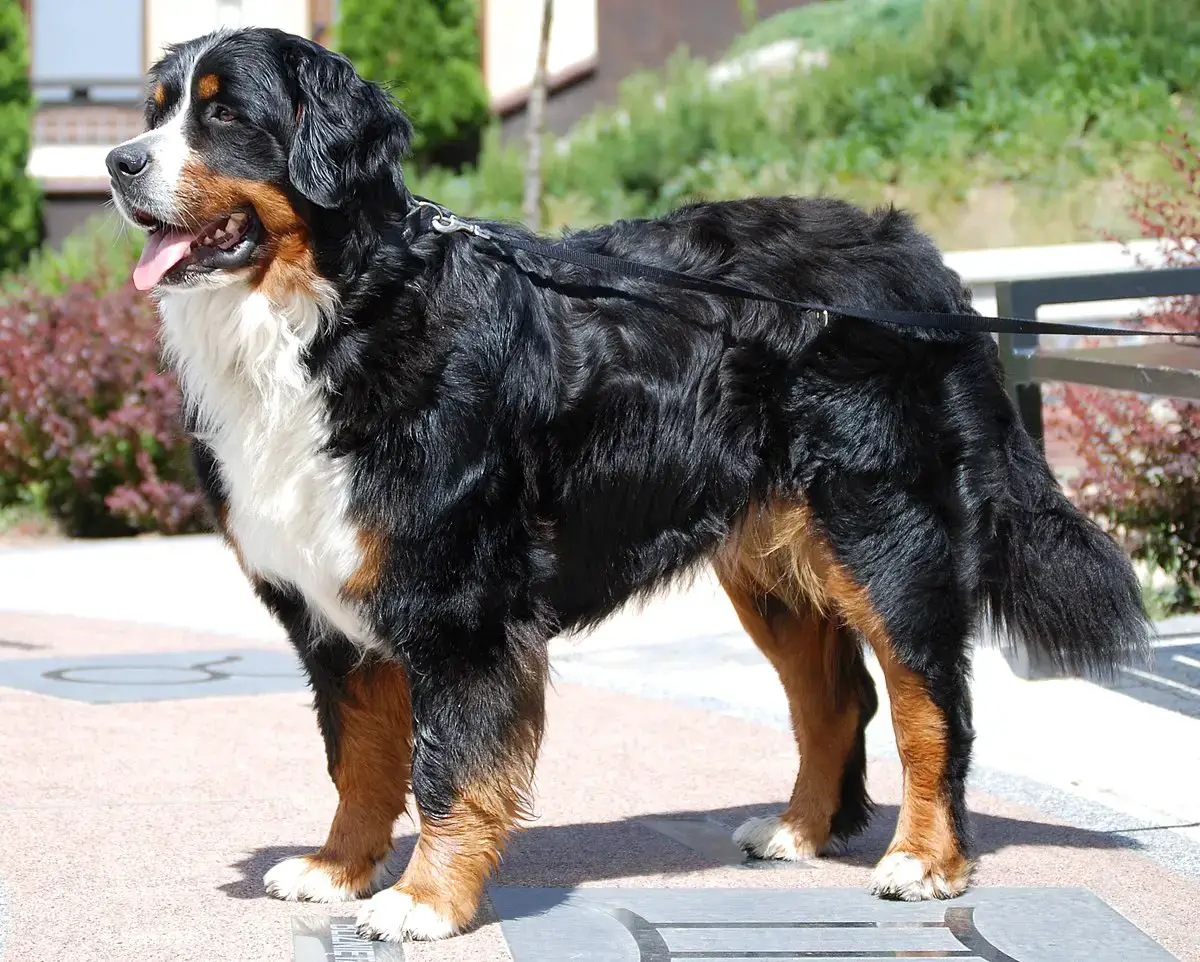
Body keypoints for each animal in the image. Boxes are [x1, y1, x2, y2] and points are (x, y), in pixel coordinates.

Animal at [105, 28, 1152, 935]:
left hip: (887, 530)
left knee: (930, 703)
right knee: (834, 698)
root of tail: (920, 260)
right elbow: (358, 759)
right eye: (156, 111)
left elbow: (447, 766)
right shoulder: (329, 604)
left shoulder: (460, 603)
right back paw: (798, 830)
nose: (119, 162)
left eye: (223, 114)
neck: (333, 316)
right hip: (769, 562)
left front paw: (423, 901)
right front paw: (337, 868)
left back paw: (925, 859)